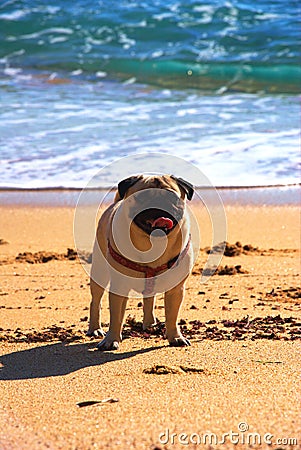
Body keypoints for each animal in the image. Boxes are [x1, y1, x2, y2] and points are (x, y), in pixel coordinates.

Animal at [86, 174, 195, 350]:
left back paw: (149, 324)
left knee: (149, 300)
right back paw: (95, 328)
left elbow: (172, 316)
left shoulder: (175, 290)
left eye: (172, 197)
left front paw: (175, 337)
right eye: (142, 197)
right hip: (100, 271)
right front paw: (111, 339)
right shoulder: (119, 287)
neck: (154, 243)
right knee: (95, 301)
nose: (158, 203)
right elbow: (116, 317)